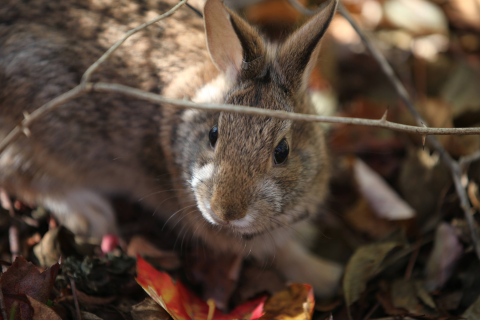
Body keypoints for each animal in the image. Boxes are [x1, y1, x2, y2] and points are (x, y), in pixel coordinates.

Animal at [0, 0, 344, 296]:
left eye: (282, 152)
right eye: (214, 134)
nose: (225, 212)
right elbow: (282, 252)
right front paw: (326, 276)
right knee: (18, 175)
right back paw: (89, 213)